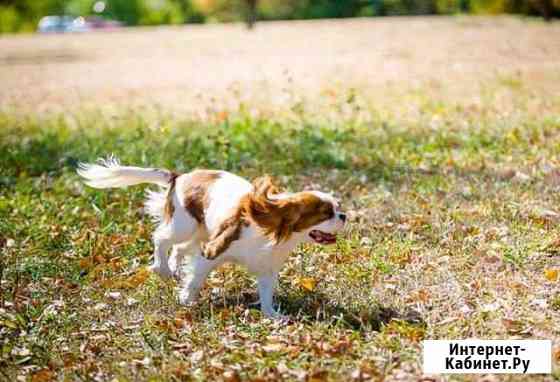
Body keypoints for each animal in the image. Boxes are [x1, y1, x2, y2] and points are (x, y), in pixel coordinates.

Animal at [76, 157, 344, 318]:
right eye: (326, 213)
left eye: (337, 207)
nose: (344, 215)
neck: (270, 229)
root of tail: (181, 176)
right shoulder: (212, 251)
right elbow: (195, 279)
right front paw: (186, 299)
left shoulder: (266, 269)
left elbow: (267, 295)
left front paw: (273, 316)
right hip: (184, 225)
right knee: (161, 238)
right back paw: (162, 269)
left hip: (200, 232)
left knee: (179, 249)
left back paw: (173, 269)